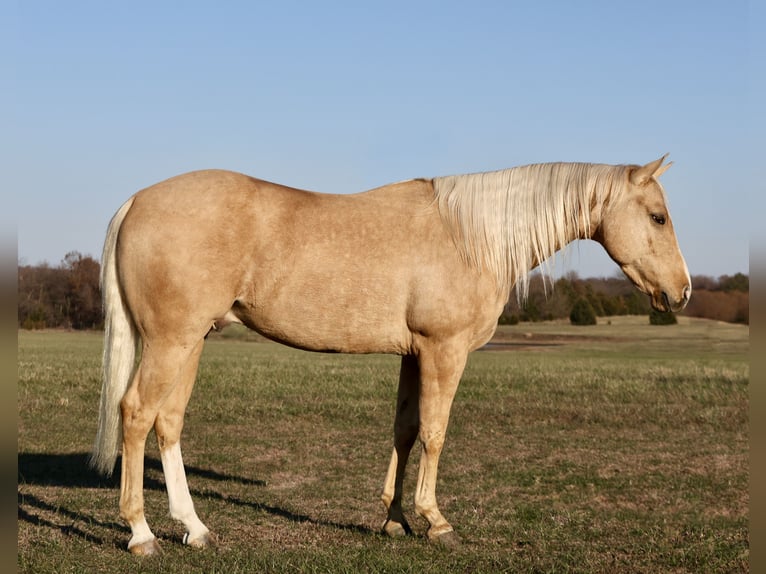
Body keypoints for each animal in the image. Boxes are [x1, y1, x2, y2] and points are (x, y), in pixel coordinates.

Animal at [91, 155, 696, 556]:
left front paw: (395, 519)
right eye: (658, 217)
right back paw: (141, 534)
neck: (469, 237)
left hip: (191, 342)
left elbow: (405, 430)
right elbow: (435, 431)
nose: (682, 293)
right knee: (137, 414)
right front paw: (436, 522)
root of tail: (137, 200)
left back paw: (194, 528)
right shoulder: (444, 350)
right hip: (170, 343)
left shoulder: (414, 353)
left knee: (168, 423)